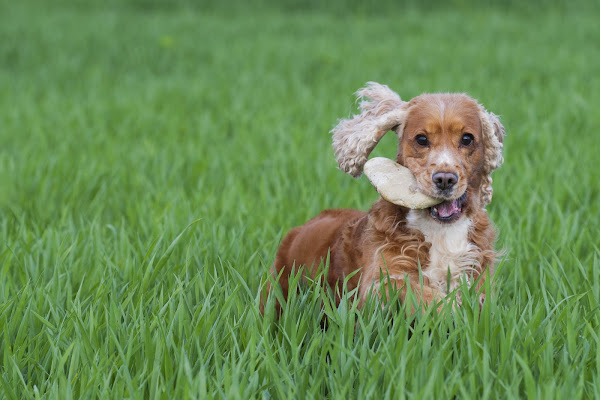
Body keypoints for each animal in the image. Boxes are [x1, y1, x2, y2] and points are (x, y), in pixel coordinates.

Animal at [262, 83, 502, 314]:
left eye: (467, 139)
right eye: (421, 139)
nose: (445, 179)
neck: (441, 231)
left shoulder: (480, 274)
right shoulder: (379, 281)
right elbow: (423, 295)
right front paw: (452, 311)